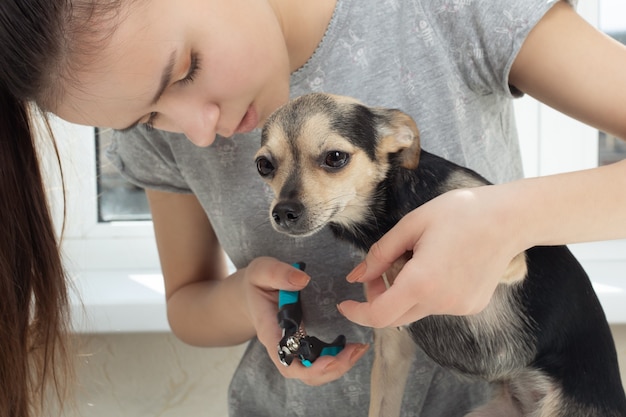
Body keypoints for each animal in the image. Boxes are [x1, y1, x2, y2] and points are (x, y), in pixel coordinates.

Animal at [254, 92, 624, 414]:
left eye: (335, 157)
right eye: (263, 165)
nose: (283, 211)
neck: (389, 212)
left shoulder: (508, 258)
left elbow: (409, 259)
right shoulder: (392, 349)